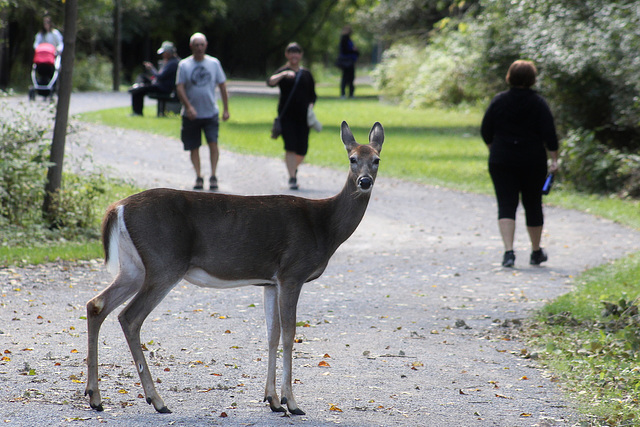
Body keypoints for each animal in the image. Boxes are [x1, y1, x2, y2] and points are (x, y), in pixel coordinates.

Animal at [86, 122, 384, 416]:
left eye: (377, 159)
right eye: (352, 158)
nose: (364, 181)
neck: (324, 226)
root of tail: (117, 207)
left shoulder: (270, 282)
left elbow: (272, 334)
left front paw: (272, 399)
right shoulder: (292, 272)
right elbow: (290, 335)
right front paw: (291, 402)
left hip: (134, 267)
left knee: (96, 304)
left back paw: (95, 396)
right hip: (164, 263)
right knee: (129, 317)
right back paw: (157, 400)